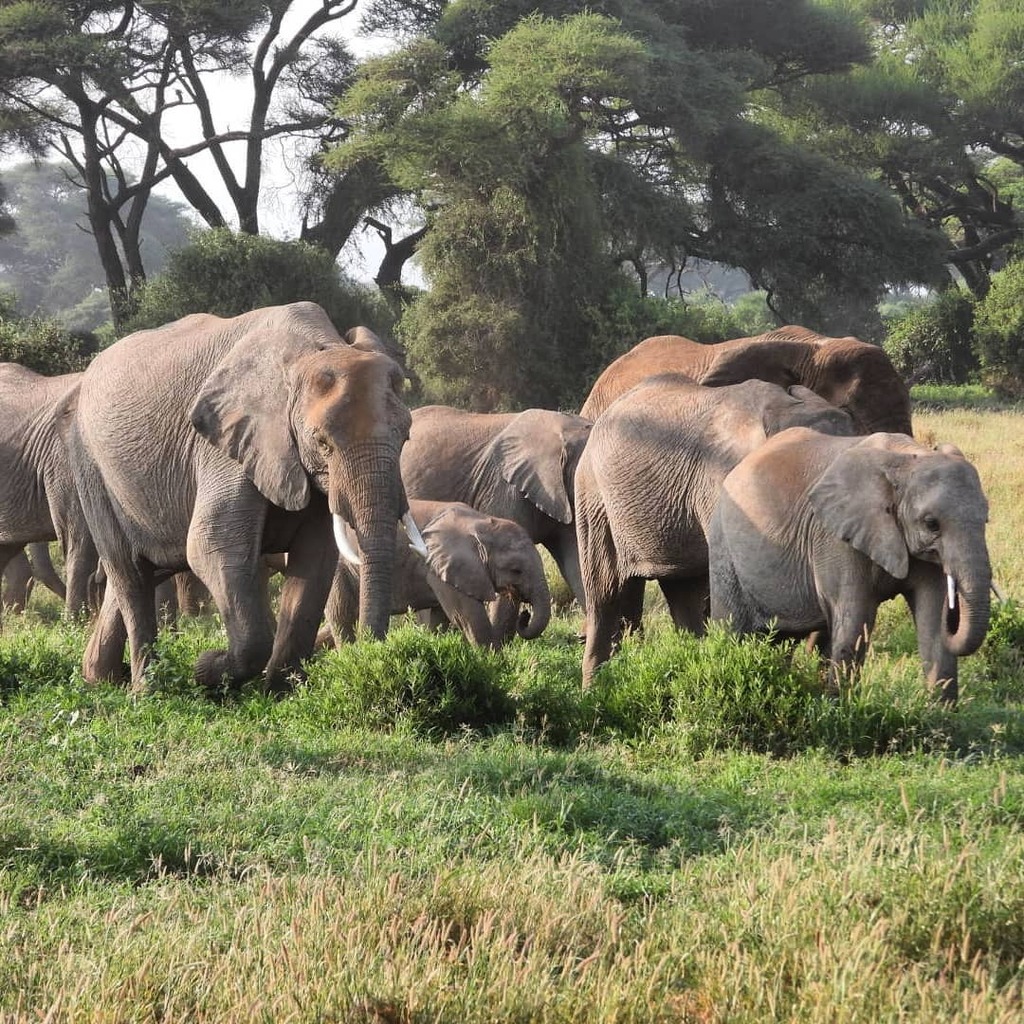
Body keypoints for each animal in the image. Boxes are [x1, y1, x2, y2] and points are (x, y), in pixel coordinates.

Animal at [62, 302, 425, 694]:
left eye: (406, 437)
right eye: (323, 442)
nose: (368, 656)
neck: (311, 351)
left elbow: (315, 557)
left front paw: (279, 691)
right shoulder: (224, 444)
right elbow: (212, 544)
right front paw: (205, 668)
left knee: (142, 572)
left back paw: (99, 677)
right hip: (90, 465)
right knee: (129, 573)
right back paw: (145, 690)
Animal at [323, 499, 552, 648]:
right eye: (516, 570)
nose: (525, 614)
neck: (482, 522)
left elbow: (439, 619)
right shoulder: (442, 567)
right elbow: (468, 616)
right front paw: (494, 665)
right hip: (340, 568)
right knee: (342, 615)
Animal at [708, 428, 991, 702]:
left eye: (986, 519)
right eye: (931, 523)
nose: (953, 610)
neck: (908, 458)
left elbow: (931, 617)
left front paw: (941, 714)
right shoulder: (836, 538)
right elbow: (855, 618)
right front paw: (838, 708)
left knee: (782, 640)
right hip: (723, 547)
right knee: (732, 630)